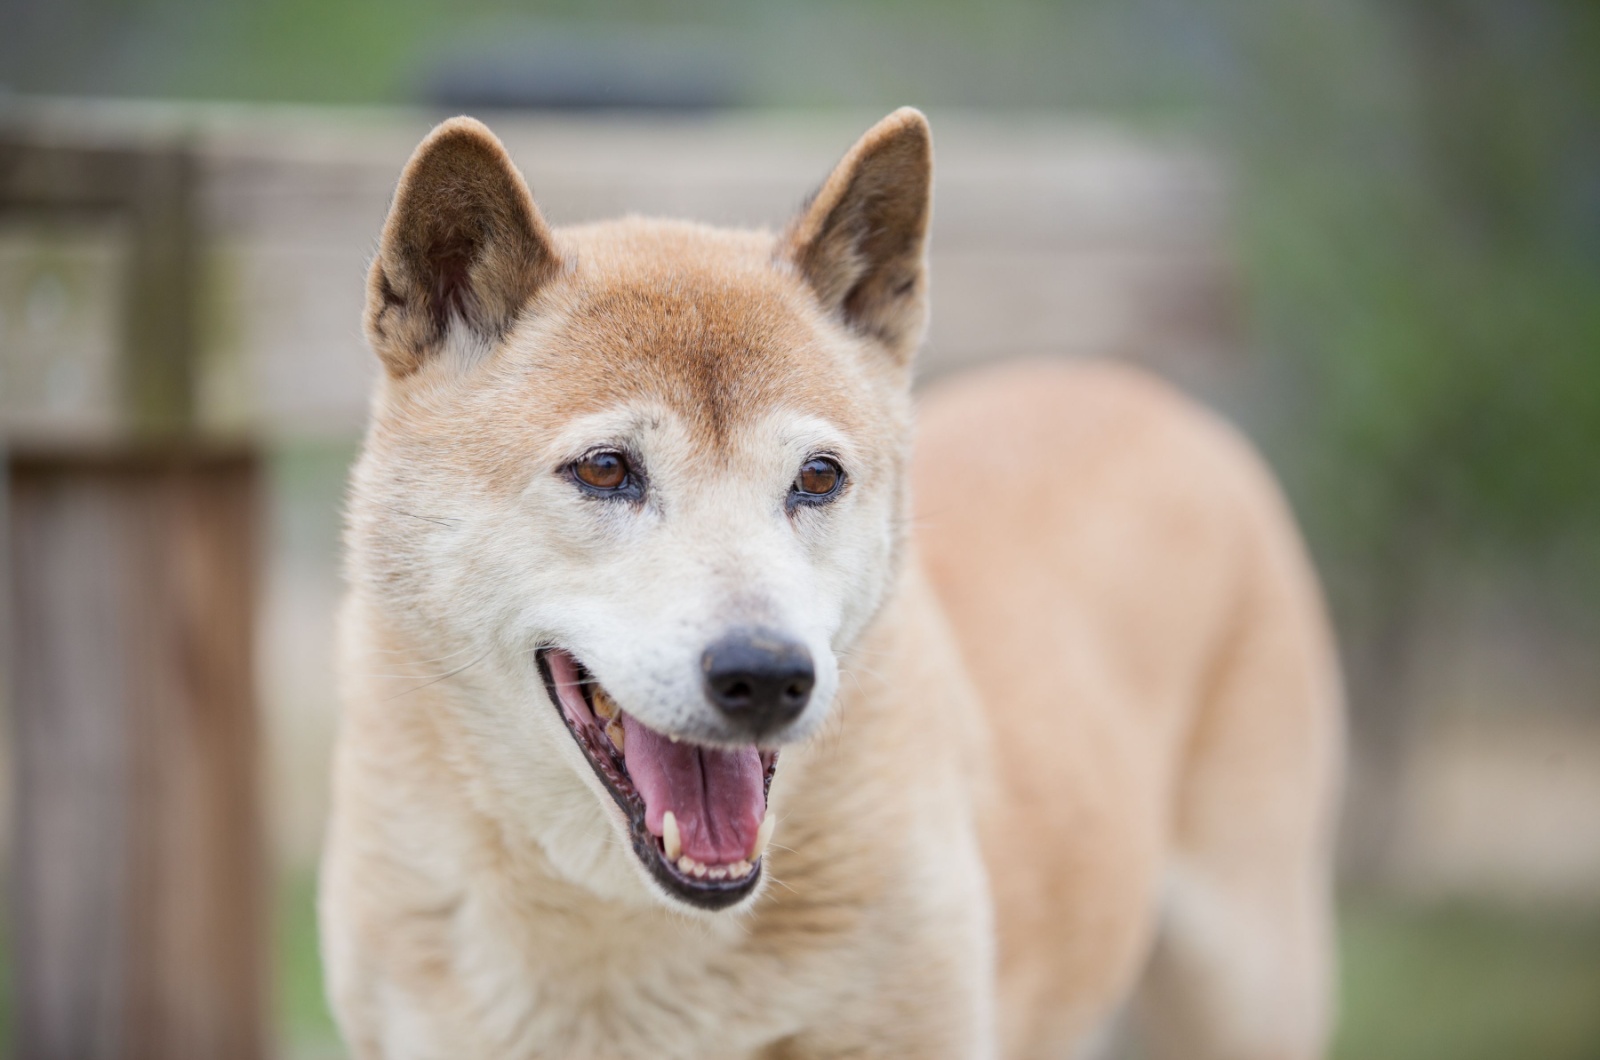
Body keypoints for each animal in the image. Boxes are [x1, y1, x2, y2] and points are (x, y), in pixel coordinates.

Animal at [318, 109, 1344, 1060]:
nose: (768, 675)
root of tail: (1150, 395)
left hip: (1245, 984)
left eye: (816, 478)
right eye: (606, 470)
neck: (628, 946)